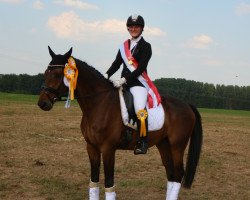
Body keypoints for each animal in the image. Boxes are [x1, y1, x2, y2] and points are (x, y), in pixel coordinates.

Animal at [37, 46, 202, 199]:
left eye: (58, 74)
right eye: (45, 73)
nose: (42, 103)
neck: (99, 103)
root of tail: (187, 105)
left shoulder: (108, 149)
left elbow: (109, 183)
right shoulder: (91, 147)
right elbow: (93, 182)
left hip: (177, 145)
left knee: (178, 173)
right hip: (164, 144)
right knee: (171, 173)